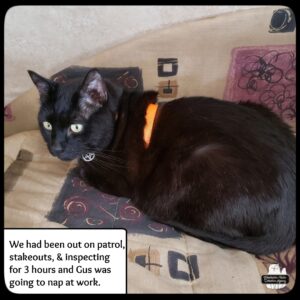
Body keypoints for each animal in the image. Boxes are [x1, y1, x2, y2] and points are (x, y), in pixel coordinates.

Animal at [28, 68, 296, 255]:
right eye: (47, 125)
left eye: (76, 126)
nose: (56, 147)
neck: (119, 118)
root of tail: (288, 224)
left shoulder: (120, 181)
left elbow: (83, 170)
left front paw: (79, 166)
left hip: (201, 158)